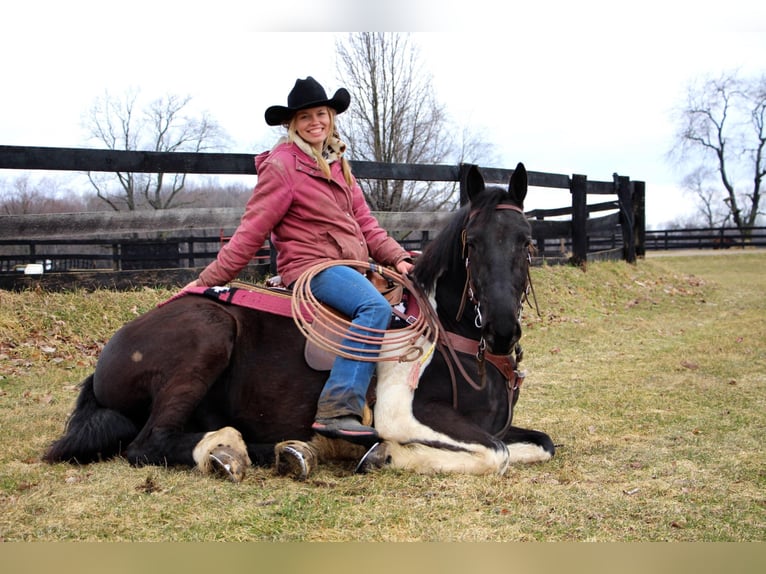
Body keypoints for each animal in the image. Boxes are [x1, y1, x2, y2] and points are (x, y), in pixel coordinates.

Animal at [45, 163, 556, 482]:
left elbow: (541, 443)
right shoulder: (410, 416)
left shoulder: (496, 426)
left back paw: (287, 450)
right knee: (147, 444)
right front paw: (386, 455)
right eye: (472, 241)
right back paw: (228, 450)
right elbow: (495, 454)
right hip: (207, 335)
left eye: (527, 240)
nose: (502, 328)